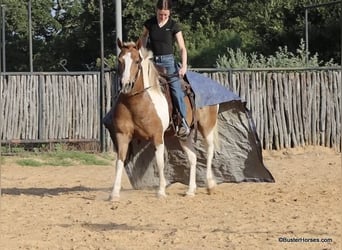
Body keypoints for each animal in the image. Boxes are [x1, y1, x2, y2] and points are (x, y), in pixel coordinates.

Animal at [106, 38, 219, 200]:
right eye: (120, 60)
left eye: (137, 61)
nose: (126, 85)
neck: (138, 102)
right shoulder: (122, 135)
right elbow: (120, 161)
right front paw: (114, 193)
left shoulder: (157, 136)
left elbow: (159, 162)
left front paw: (161, 191)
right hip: (184, 136)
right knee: (193, 157)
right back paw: (190, 190)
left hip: (207, 127)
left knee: (209, 151)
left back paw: (210, 185)